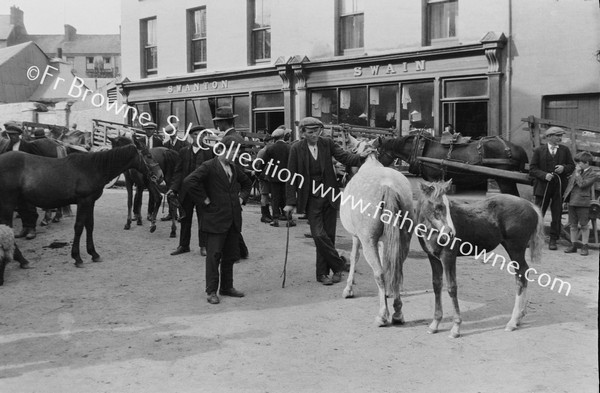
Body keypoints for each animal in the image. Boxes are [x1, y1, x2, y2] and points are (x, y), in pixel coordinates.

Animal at [0, 142, 164, 284]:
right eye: (149, 155)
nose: (160, 175)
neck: (93, 168)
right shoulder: (83, 201)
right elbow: (79, 227)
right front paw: (77, 258)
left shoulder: (90, 202)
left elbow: (89, 226)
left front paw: (94, 254)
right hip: (7, 204)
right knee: (8, 230)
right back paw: (22, 260)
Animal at [340, 145, 414, 326]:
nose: (343, 176)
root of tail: (388, 186)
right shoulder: (383, 241)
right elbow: (386, 261)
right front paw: (388, 292)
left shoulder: (357, 237)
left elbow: (354, 257)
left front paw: (348, 289)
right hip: (404, 239)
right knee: (397, 267)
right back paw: (397, 313)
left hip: (368, 241)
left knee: (378, 273)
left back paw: (383, 315)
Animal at [414, 181, 548, 336]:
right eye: (437, 206)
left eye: (448, 205)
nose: (451, 233)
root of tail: (531, 205)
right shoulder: (433, 258)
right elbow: (436, 286)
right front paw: (435, 323)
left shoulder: (448, 257)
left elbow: (452, 288)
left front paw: (456, 327)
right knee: (522, 273)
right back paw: (519, 317)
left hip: (515, 249)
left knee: (521, 274)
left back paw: (513, 321)